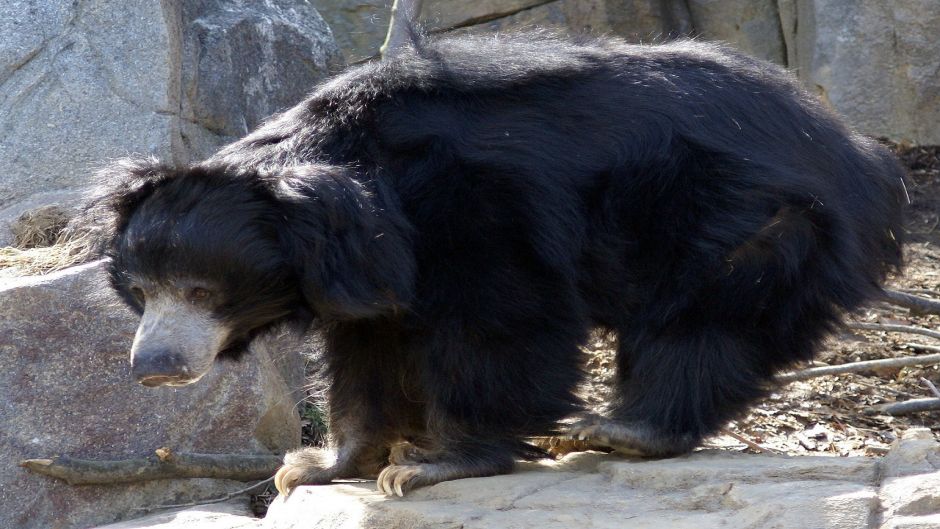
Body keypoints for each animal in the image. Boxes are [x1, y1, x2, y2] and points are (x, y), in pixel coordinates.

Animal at [89, 32, 905, 497]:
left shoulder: (476, 211)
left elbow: (499, 321)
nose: (152, 367)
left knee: (704, 323)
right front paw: (319, 464)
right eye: (142, 289)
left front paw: (430, 464)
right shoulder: (367, 276)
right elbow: (368, 352)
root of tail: (861, 154)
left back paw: (621, 428)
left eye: (201, 289)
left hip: (744, 217)